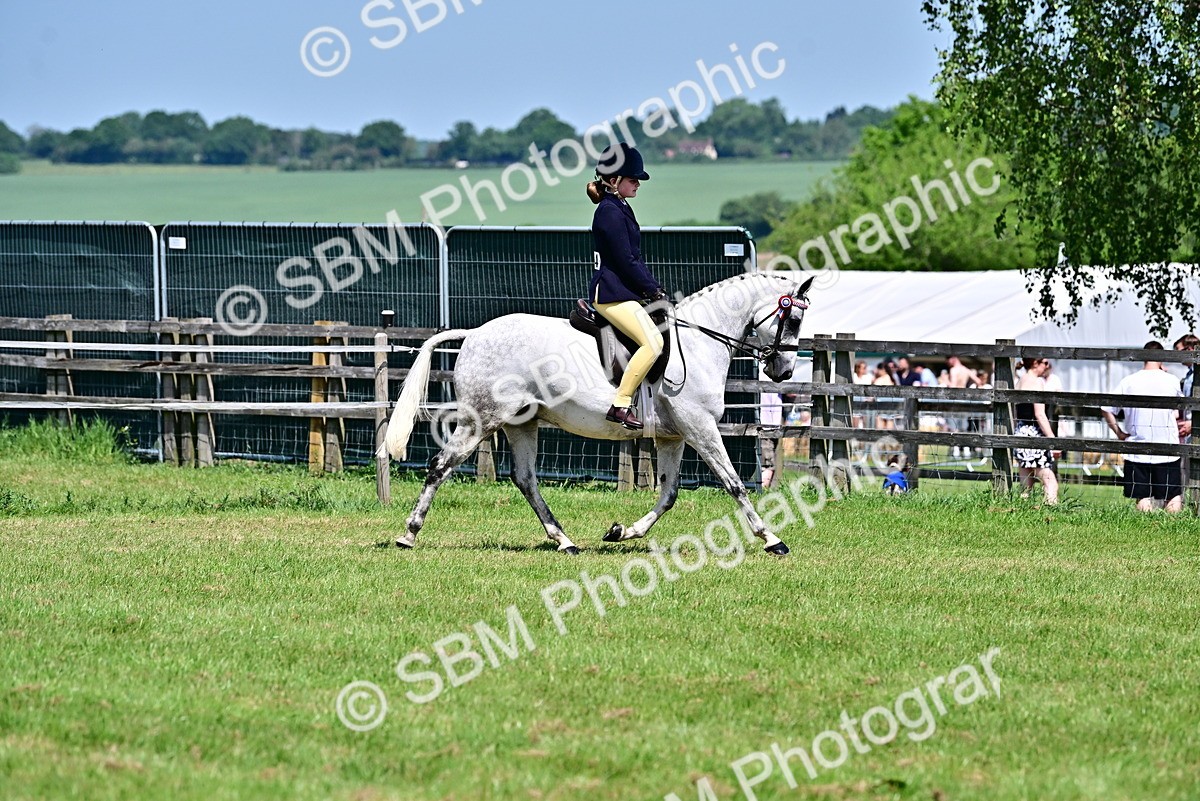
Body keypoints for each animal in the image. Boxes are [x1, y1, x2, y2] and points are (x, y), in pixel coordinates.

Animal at [382, 271, 814, 555]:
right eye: (792, 318)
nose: (784, 371)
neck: (698, 341)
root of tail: (473, 335)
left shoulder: (673, 436)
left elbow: (669, 494)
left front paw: (621, 532)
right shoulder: (700, 427)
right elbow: (734, 483)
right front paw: (772, 539)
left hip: (522, 423)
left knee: (525, 479)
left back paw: (565, 541)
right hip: (481, 419)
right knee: (440, 466)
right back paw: (408, 534)